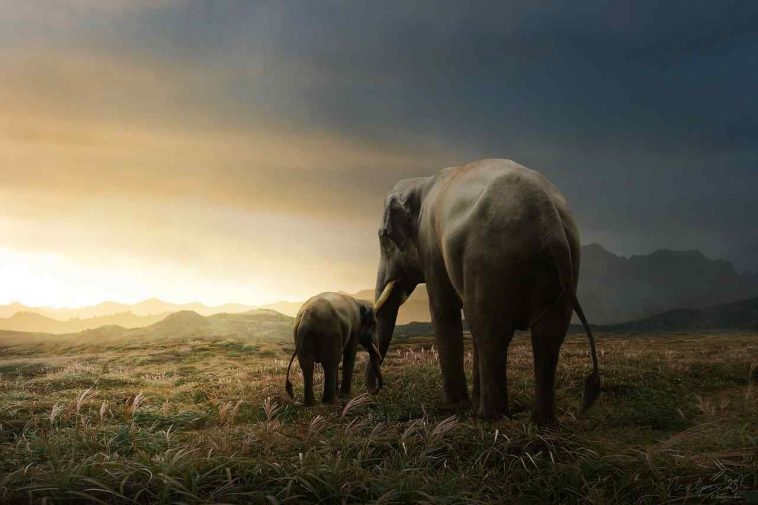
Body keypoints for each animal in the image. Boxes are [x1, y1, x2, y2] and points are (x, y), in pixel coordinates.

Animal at [366, 158, 600, 424]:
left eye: (384, 238)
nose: (375, 389)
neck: (421, 182)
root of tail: (547, 217)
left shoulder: (432, 247)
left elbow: (443, 310)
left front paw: (455, 408)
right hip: (567, 263)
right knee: (547, 335)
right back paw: (541, 421)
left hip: (489, 258)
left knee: (489, 329)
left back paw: (488, 417)